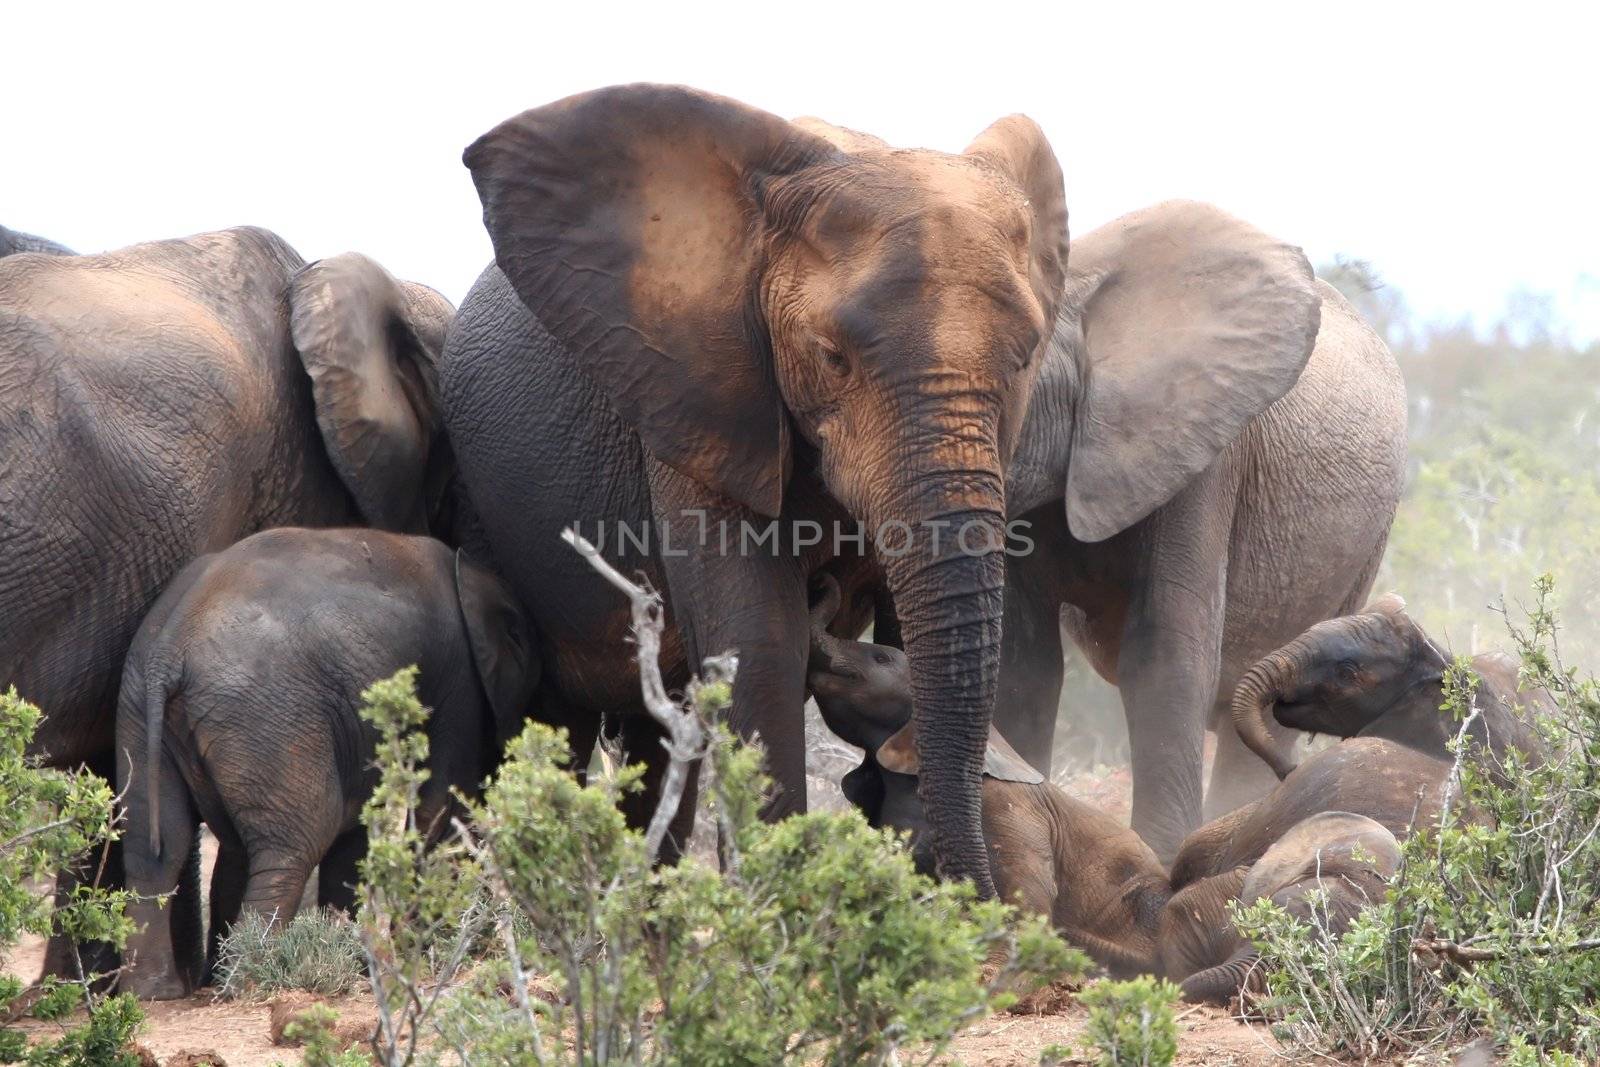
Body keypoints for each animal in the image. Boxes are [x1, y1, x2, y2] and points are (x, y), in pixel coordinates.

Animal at [116, 527, 537, 1004]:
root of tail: (167, 653)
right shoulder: (458, 687)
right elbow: (441, 809)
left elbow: (358, 831)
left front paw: (359, 958)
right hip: (266, 712)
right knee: (296, 841)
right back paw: (247, 980)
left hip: (140, 710)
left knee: (157, 847)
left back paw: (155, 992)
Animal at [438, 87, 1068, 895]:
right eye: (832, 357)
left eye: (1024, 358)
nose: (975, 901)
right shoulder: (694, 393)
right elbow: (762, 641)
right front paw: (777, 911)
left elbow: (910, 629)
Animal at [998, 199, 1414, 863]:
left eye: (1013, 367)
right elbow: (1024, 661)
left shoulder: (1206, 458)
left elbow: (1164, 652)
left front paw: (1158, 858)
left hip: (1366, 543)